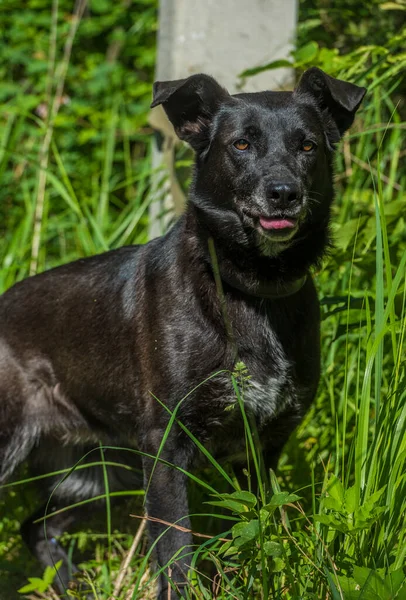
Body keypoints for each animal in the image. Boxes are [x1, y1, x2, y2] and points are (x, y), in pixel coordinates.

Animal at [0, 68, 366, 596]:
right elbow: (175, 552)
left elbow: (255, 531)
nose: (283, 192)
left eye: (308, 146)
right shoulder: (167, 447)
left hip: (98, 475)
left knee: (35, 527)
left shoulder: (262, 450)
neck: (247, 289)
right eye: (241, 144)